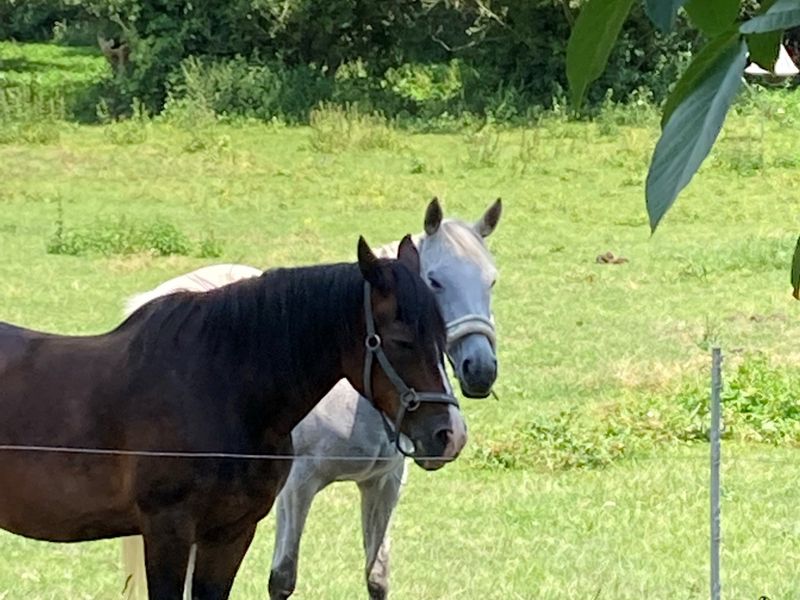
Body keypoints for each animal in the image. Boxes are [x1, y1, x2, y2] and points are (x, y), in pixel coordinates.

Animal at [0, 237, 460, 596]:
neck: (220, 389)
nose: (448, 435)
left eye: (442, 336)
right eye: (400, 340)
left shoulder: (231, 534)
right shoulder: (167, 530)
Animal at [119, 198, 500, 600]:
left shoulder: (384, 483)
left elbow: (377, 577)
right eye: (435, 281)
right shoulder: (298, 486)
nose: (481, 369)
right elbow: (282, 579)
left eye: (491, 280)